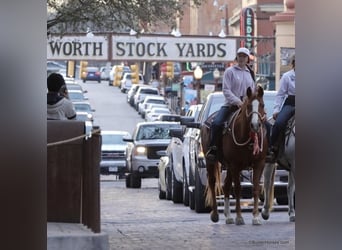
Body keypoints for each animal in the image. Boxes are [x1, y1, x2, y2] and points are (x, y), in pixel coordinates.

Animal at [202, 86, 272, 225]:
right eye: (249, 106)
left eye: (262, 105)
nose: (255, 125)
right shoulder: (235, 165)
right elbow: (238, 189)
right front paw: (239, 217)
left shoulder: (259, 163)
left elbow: (256, 188)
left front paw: (255, 217)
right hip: (211, 161)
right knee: (212, 183)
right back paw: (215, 214)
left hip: (228, 166)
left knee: (226, 186)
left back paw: (228, 216)